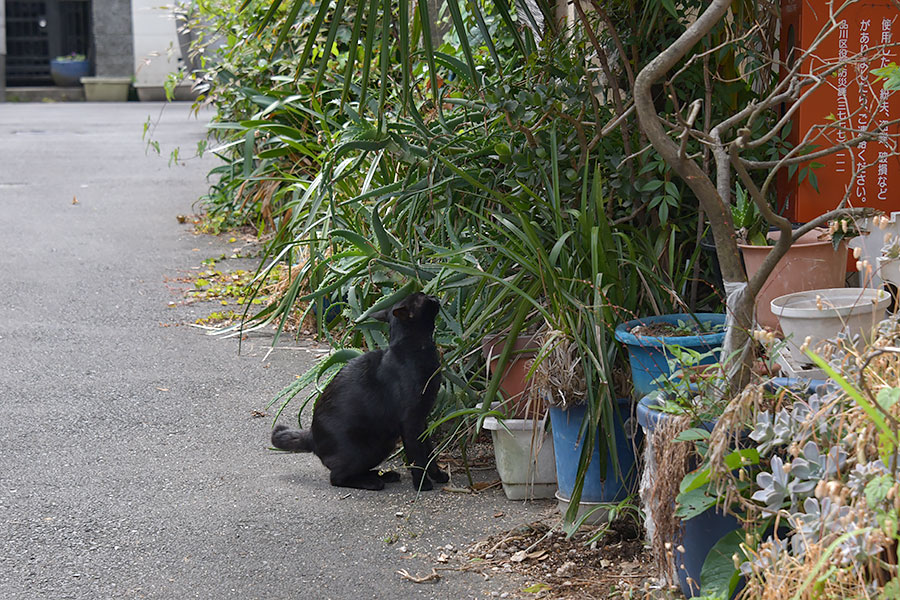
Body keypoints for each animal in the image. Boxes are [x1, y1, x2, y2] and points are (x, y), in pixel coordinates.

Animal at [268, 292, 448, 492]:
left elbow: (429, 451)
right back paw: (373, 482)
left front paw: (437, 475)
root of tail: (312, 435)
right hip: (368, 448)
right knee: (337, 477)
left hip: (383, 444)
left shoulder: (422, 420)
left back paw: (384, 475)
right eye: (423, 297)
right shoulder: (410, 421)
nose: (434, 295)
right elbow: (417, 456)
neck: (416, 350)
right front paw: (422, 484)